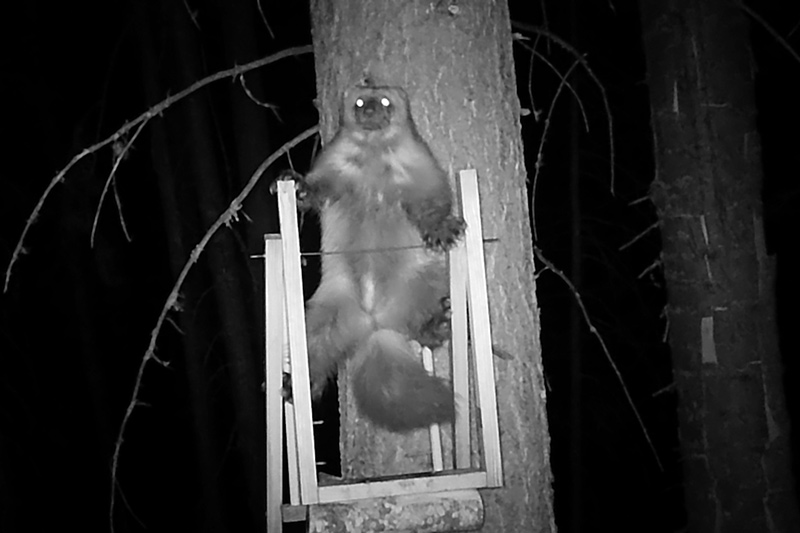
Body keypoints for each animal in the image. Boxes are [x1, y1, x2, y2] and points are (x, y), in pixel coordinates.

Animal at [281, 84, 465, 432]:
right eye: (359, 101)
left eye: (384, 101)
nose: (369, 111)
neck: (374, 160)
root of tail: (374, 322)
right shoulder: (334, 167)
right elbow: (318, 189)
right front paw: (296, 185)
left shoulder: (420, 170)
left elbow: (432, 201)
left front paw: (443, 230)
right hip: (325, 312)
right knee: (314, 350)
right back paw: (294, 383)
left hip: (423, 280)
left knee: (419, 328)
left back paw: (435, 325)